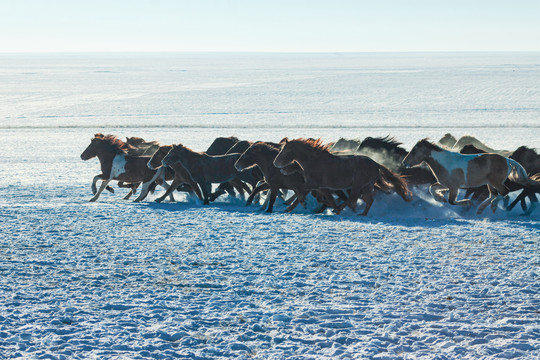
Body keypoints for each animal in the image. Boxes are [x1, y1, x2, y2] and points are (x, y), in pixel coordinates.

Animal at [272, 139, 412, 217]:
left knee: (353, 198)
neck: (314, 162)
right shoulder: (322, 187)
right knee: (368, 200)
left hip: (358, 184)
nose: (275, 163)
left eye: (285, 151)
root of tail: (376, 164)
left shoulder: (313, 184)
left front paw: (293, 206)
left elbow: (302, 192)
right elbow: (327, 198)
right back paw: (362, 214)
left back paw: (343, 209)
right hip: (366, 185)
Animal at [402, 139, 536, 214]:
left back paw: (491, 206)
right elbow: (432, 189)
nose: (404, 162)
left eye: (414, 151)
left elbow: (451, 201)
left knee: (504, 192)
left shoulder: (454, 187)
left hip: (495, 182)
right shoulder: (444, 184)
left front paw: (467, 203)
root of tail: (508, 160)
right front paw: (440, 198)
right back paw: (482, 209)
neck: (445, 162)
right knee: (494, 195)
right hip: (489, 183)